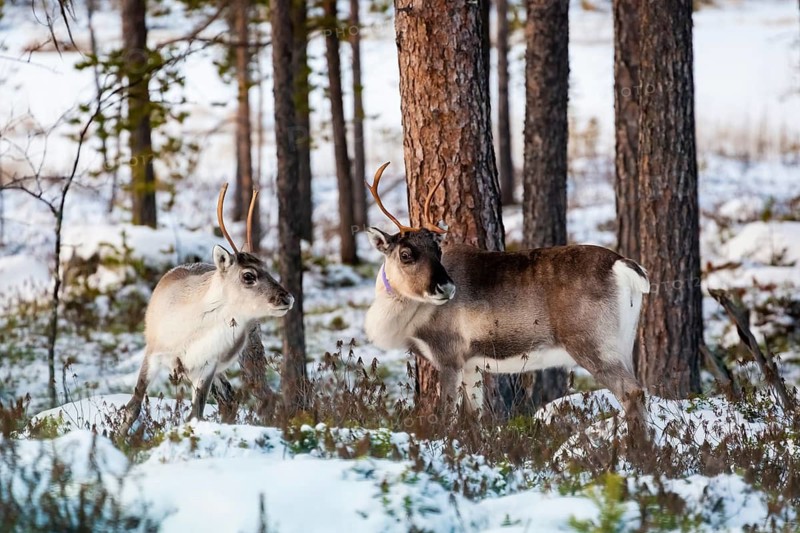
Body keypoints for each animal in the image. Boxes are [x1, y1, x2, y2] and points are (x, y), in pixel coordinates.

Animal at [122, 185, 294, 431]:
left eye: (267, 268)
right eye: (248, 275)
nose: (287, 298)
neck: (193, 328)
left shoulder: (206, 368)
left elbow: (195, 414)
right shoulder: (153, 355)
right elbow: (133, 407)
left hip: (248, 354)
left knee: (259, 397)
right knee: (230, 399)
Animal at [363, 162, 651, 437]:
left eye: (438, 250)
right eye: (405, 254)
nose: (446, 286)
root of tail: (623, 265)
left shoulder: (449, 356)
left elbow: (447, 415)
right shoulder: (471, 365)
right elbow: (475, 419)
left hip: (594, 345)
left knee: (632, 392)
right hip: (624, 344)